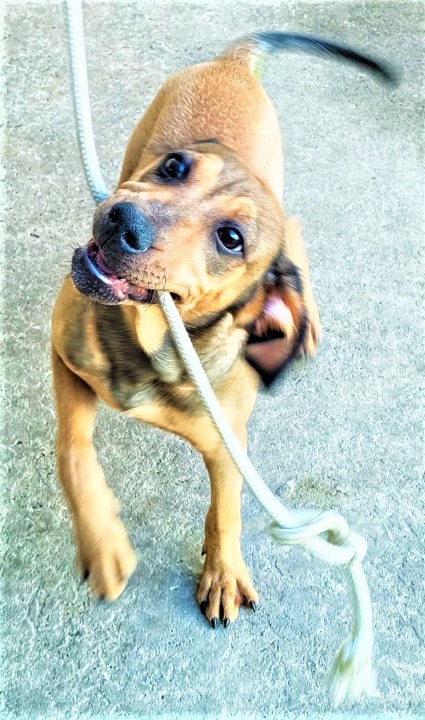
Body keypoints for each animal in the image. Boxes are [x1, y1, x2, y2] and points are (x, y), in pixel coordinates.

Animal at [52, 31, 394, 624]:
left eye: (231, 239)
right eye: (173, 168)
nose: (121, 221)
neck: (153, 345)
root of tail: (233, 64)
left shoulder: (228, 443)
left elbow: (227, 509)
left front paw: (223, 572)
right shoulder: (63, 354)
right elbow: (74, 449)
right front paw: (103, 544)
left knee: (295, 237)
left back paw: (308, 321)